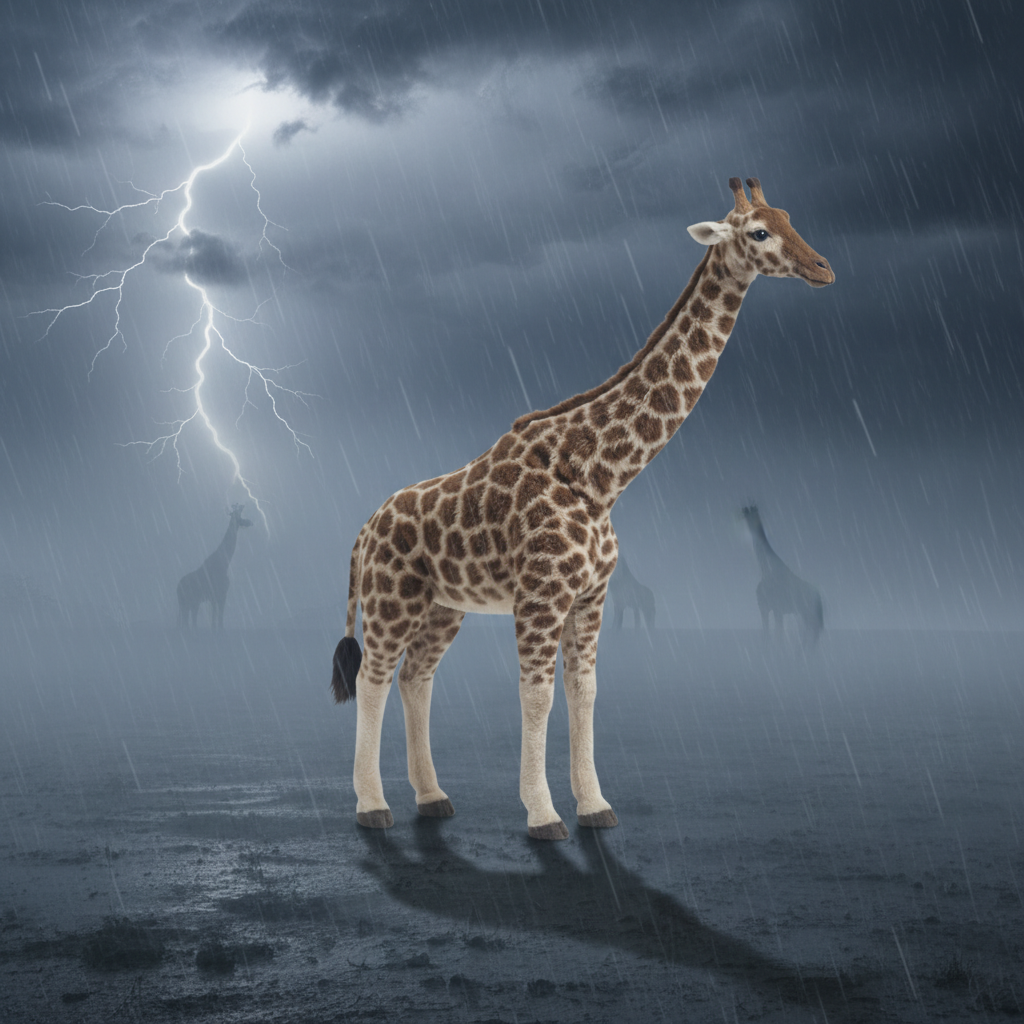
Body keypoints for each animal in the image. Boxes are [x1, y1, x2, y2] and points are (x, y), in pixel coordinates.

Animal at [740, 504, 823, 644]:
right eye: (746, 515)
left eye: (753, 515)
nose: (752, 525)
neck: (767, 571)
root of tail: (820, 601)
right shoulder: (766, 609)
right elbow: (771, 636)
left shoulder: (775, 609)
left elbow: (776, 636)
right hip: (804, 616)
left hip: (808, 615)